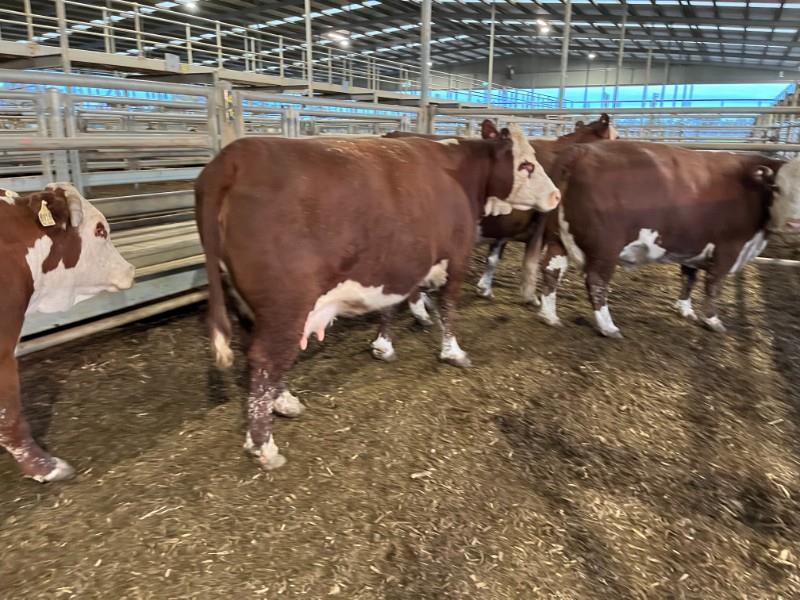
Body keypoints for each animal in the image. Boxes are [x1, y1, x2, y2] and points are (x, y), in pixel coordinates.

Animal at [195, 122, 560, 471]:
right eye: (526, 165)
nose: (556, 195)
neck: (459, 173)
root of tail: (233, 158)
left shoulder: (398, 264)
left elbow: (390, 307)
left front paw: (383, 346)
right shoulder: (456, 257)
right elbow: (447, 307)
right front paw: (453, 352)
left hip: (245, 302)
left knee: (259, 355)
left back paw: (282, 403)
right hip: (286, 305)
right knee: (265, 360)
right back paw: (264, 447)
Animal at [534, 141, 799, 337]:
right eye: (777, 188)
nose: (793, 224)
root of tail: (582, 150)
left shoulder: (694, 246)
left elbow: (688, 279)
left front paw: (685, 310)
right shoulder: (729, 248)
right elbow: (714, 286)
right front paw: (712, 321)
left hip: (557, 236)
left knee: (552, 271)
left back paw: (549, 316)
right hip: (605, 246)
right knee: (596, 281)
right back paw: (608, 327)